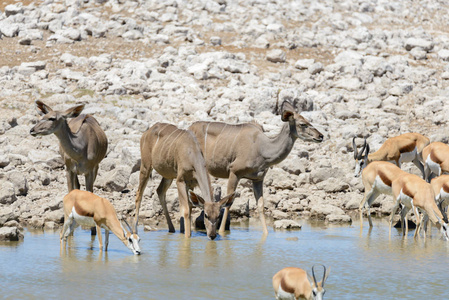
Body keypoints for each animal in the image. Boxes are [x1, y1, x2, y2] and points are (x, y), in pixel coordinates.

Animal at [188, 101, 322, 234]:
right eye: (303, 124)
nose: (321, 136)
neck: (262, 149)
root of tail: (189, 128)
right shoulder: (234, 172)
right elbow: (228, 203)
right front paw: (221, 232)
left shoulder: (258, 178)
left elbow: (260, 204)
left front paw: (266, 233)